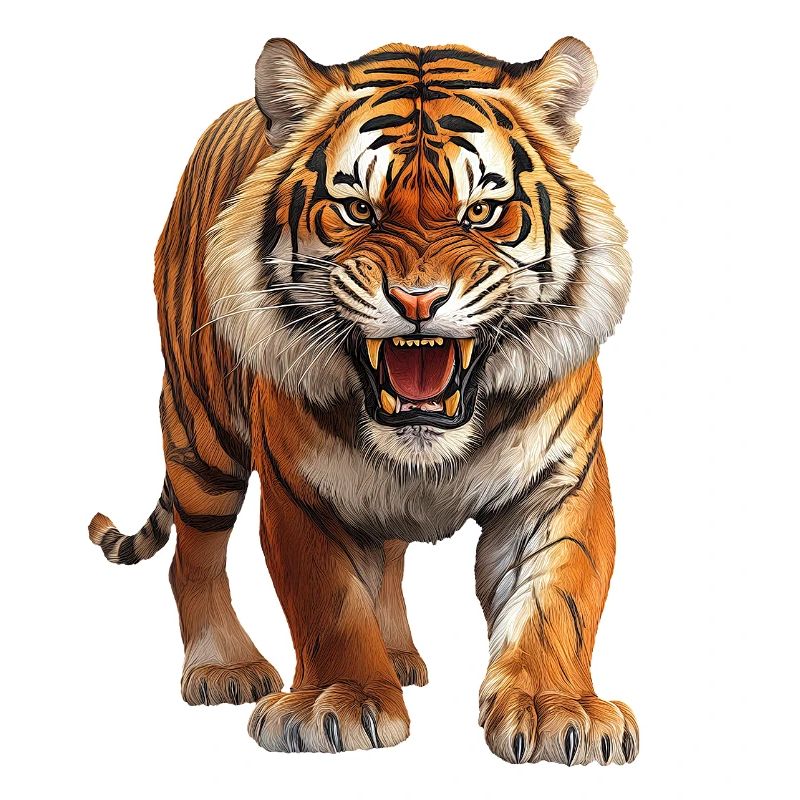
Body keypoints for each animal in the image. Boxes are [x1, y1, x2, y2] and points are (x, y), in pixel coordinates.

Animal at [89, 36, 637, 764]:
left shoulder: (560, 481)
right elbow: (329, 600)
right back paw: (224, 667)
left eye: (482, 212)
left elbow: (558, 597)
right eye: (357, 210)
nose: (417, 301)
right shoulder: (301, 489)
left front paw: (558, 710)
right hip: (202, 433)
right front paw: (338, 703)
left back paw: (399, 656)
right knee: (193, 554)